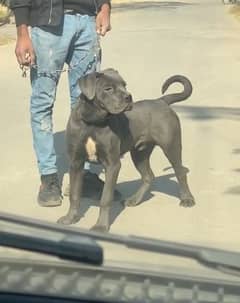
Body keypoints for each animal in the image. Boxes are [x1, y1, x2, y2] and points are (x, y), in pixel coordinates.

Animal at [58, 69, 195, 232]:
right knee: (148, 176)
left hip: (171, 145)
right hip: (139, 153)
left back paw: (187, 199)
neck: (93, 123)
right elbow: (74, 194)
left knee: (180, 172)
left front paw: (101, 226)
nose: (128, 97)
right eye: (108, 88)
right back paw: (134, 200)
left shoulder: (112, 164)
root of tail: (161, 101)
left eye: (124, 85)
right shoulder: (76, 162)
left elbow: (105, 198)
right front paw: (69, 218)